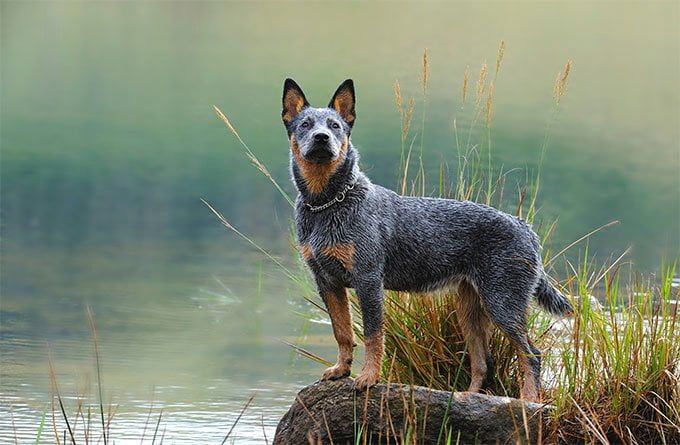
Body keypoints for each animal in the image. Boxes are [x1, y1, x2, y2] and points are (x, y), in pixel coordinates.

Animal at [282, 78, 572, 400]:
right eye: (305, 124)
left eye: (335, 126)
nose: (321, 138)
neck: (327, 204)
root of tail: (526, 228)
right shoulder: (327, 281)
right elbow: (342, 332)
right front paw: (341, 370)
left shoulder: (368, 280)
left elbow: (372, 335)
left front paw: (368, 376)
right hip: (470, 309)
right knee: (483, 361)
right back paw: (466, 397)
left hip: (502, 302)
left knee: (530, 354)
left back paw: (528, 401)